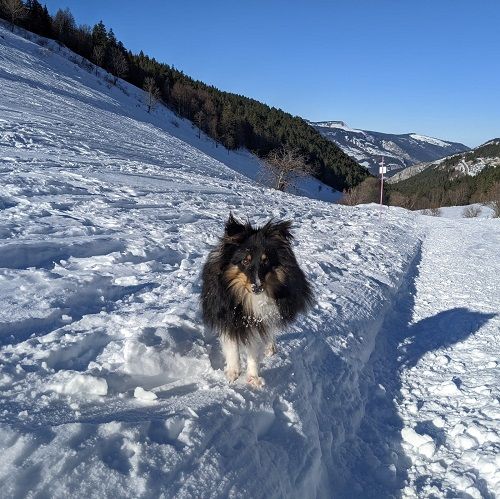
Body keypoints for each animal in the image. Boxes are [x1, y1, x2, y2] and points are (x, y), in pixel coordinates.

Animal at [200, 213, 312, 388]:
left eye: (266, 261)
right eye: (245, 261)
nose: (257, 287)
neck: (247, 297)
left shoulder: (259, 318)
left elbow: (254, 348)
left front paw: (253, 378)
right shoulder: (226, 314)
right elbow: (232, 345)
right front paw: (232, 373)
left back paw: (271, 347)